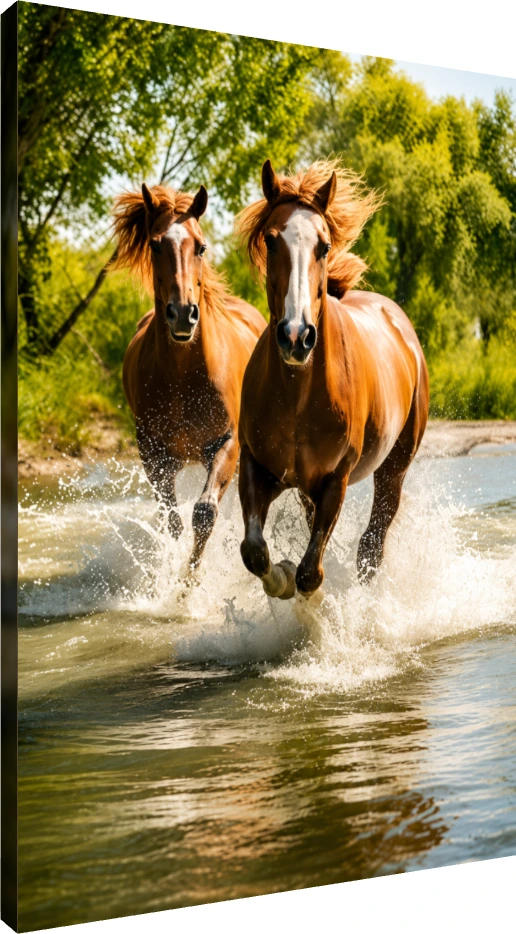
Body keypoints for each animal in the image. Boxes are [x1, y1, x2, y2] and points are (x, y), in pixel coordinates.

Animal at [112, 182, 266, 574]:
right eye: (154, 244)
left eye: (201, 246)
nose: (183, 314)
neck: (183, 375)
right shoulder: (154, 454)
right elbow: (173, 521)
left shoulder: (227, 444)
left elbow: (205, 513)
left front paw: (189, 581)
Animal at [235, 158, 429, 600]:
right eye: (271, 240)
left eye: (323, 246)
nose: (296, 335)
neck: (298, 395)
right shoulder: (256, 466)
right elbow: (254, 551)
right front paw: (281, 577)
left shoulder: (334, 480)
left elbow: (311, 572)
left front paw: (312, 599)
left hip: (394, 469)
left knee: (372, 546)